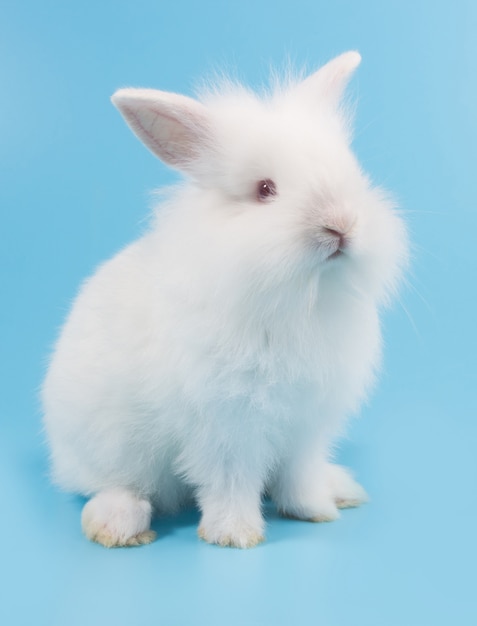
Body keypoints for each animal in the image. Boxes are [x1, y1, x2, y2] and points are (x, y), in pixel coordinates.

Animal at [41, 52, 406, 544]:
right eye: (265, 189)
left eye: (351, 172)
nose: (340, 225)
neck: (298, 300)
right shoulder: (227, 427)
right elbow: (230, 482)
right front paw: (235, 535)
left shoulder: (305, 425)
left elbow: (299, 475)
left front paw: (315, 510)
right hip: (110, 444)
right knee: (114, 484)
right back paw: (118, 524)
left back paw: (341, 488)